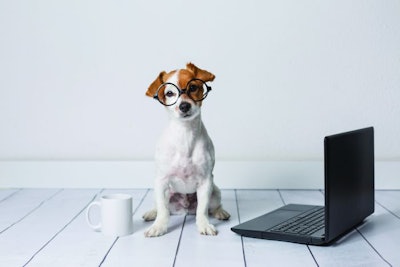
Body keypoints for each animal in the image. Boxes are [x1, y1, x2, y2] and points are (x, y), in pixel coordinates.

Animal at [143, 63, 231, 239]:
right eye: (169, 93)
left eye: (193, 87)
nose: (184, 106)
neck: (184, 135)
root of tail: (184, 209)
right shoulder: (161, 181)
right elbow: (163, 211)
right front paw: (159, 226)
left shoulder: (205, 182)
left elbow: (202, 210)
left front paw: (204, 225)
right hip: (162, 193)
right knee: (159, 206)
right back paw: (151, 213)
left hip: (215, 192)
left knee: (214, 206)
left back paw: (220, 212)